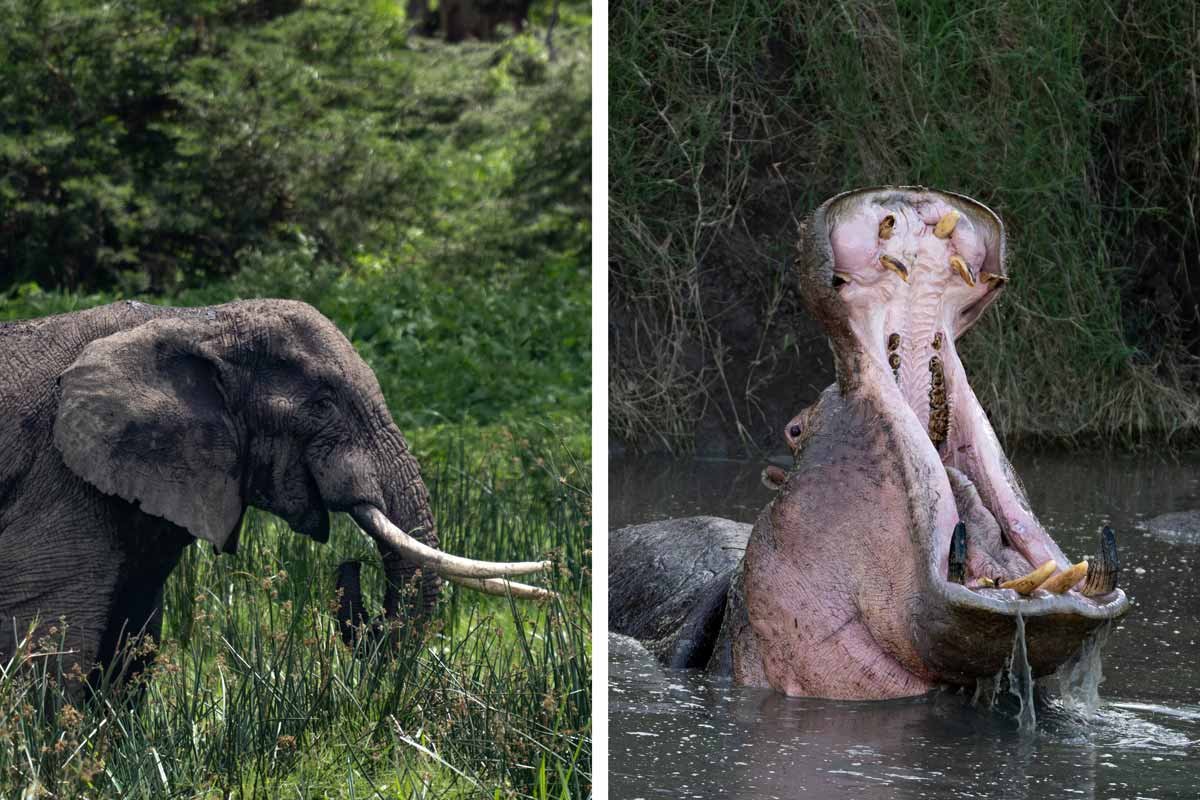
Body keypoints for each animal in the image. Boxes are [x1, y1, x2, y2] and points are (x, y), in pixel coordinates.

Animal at [0, 299, 553, 684]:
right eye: (324, 405)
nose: (351, 566)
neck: (194, 321)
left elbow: (134, 637)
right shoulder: (57, 475)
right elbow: (50, 640)